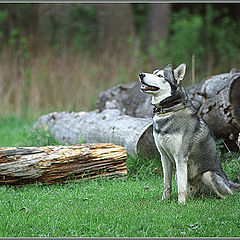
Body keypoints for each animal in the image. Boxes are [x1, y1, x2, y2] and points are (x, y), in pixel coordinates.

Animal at [139, 62, 240, 203]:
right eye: (153, 73)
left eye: (159, 76)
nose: (141, 74)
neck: (169, 111)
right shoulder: (164, 157)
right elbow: (166, 184)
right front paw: (164, 200)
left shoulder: (180, 157)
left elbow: (181, 187)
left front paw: (181, 203)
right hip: (180, 175)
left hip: (208, 174)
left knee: (228, 195)